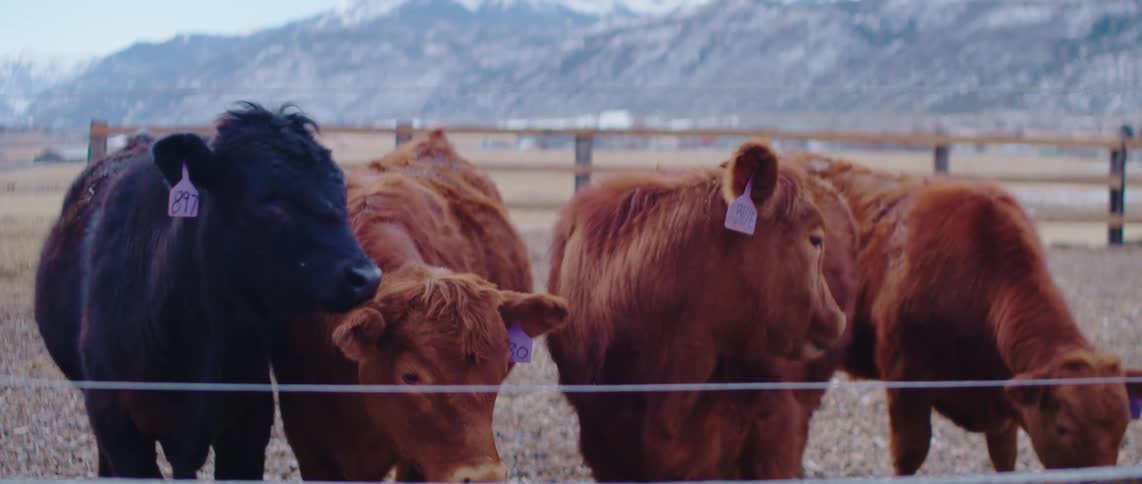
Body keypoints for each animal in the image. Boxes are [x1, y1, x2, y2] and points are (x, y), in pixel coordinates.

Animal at [795, 152, 1142, 474]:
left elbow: (1005, 457)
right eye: (1062, 427)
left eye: (1124, 429)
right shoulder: (904, 380)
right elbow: (910, 454)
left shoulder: (1003, 405)